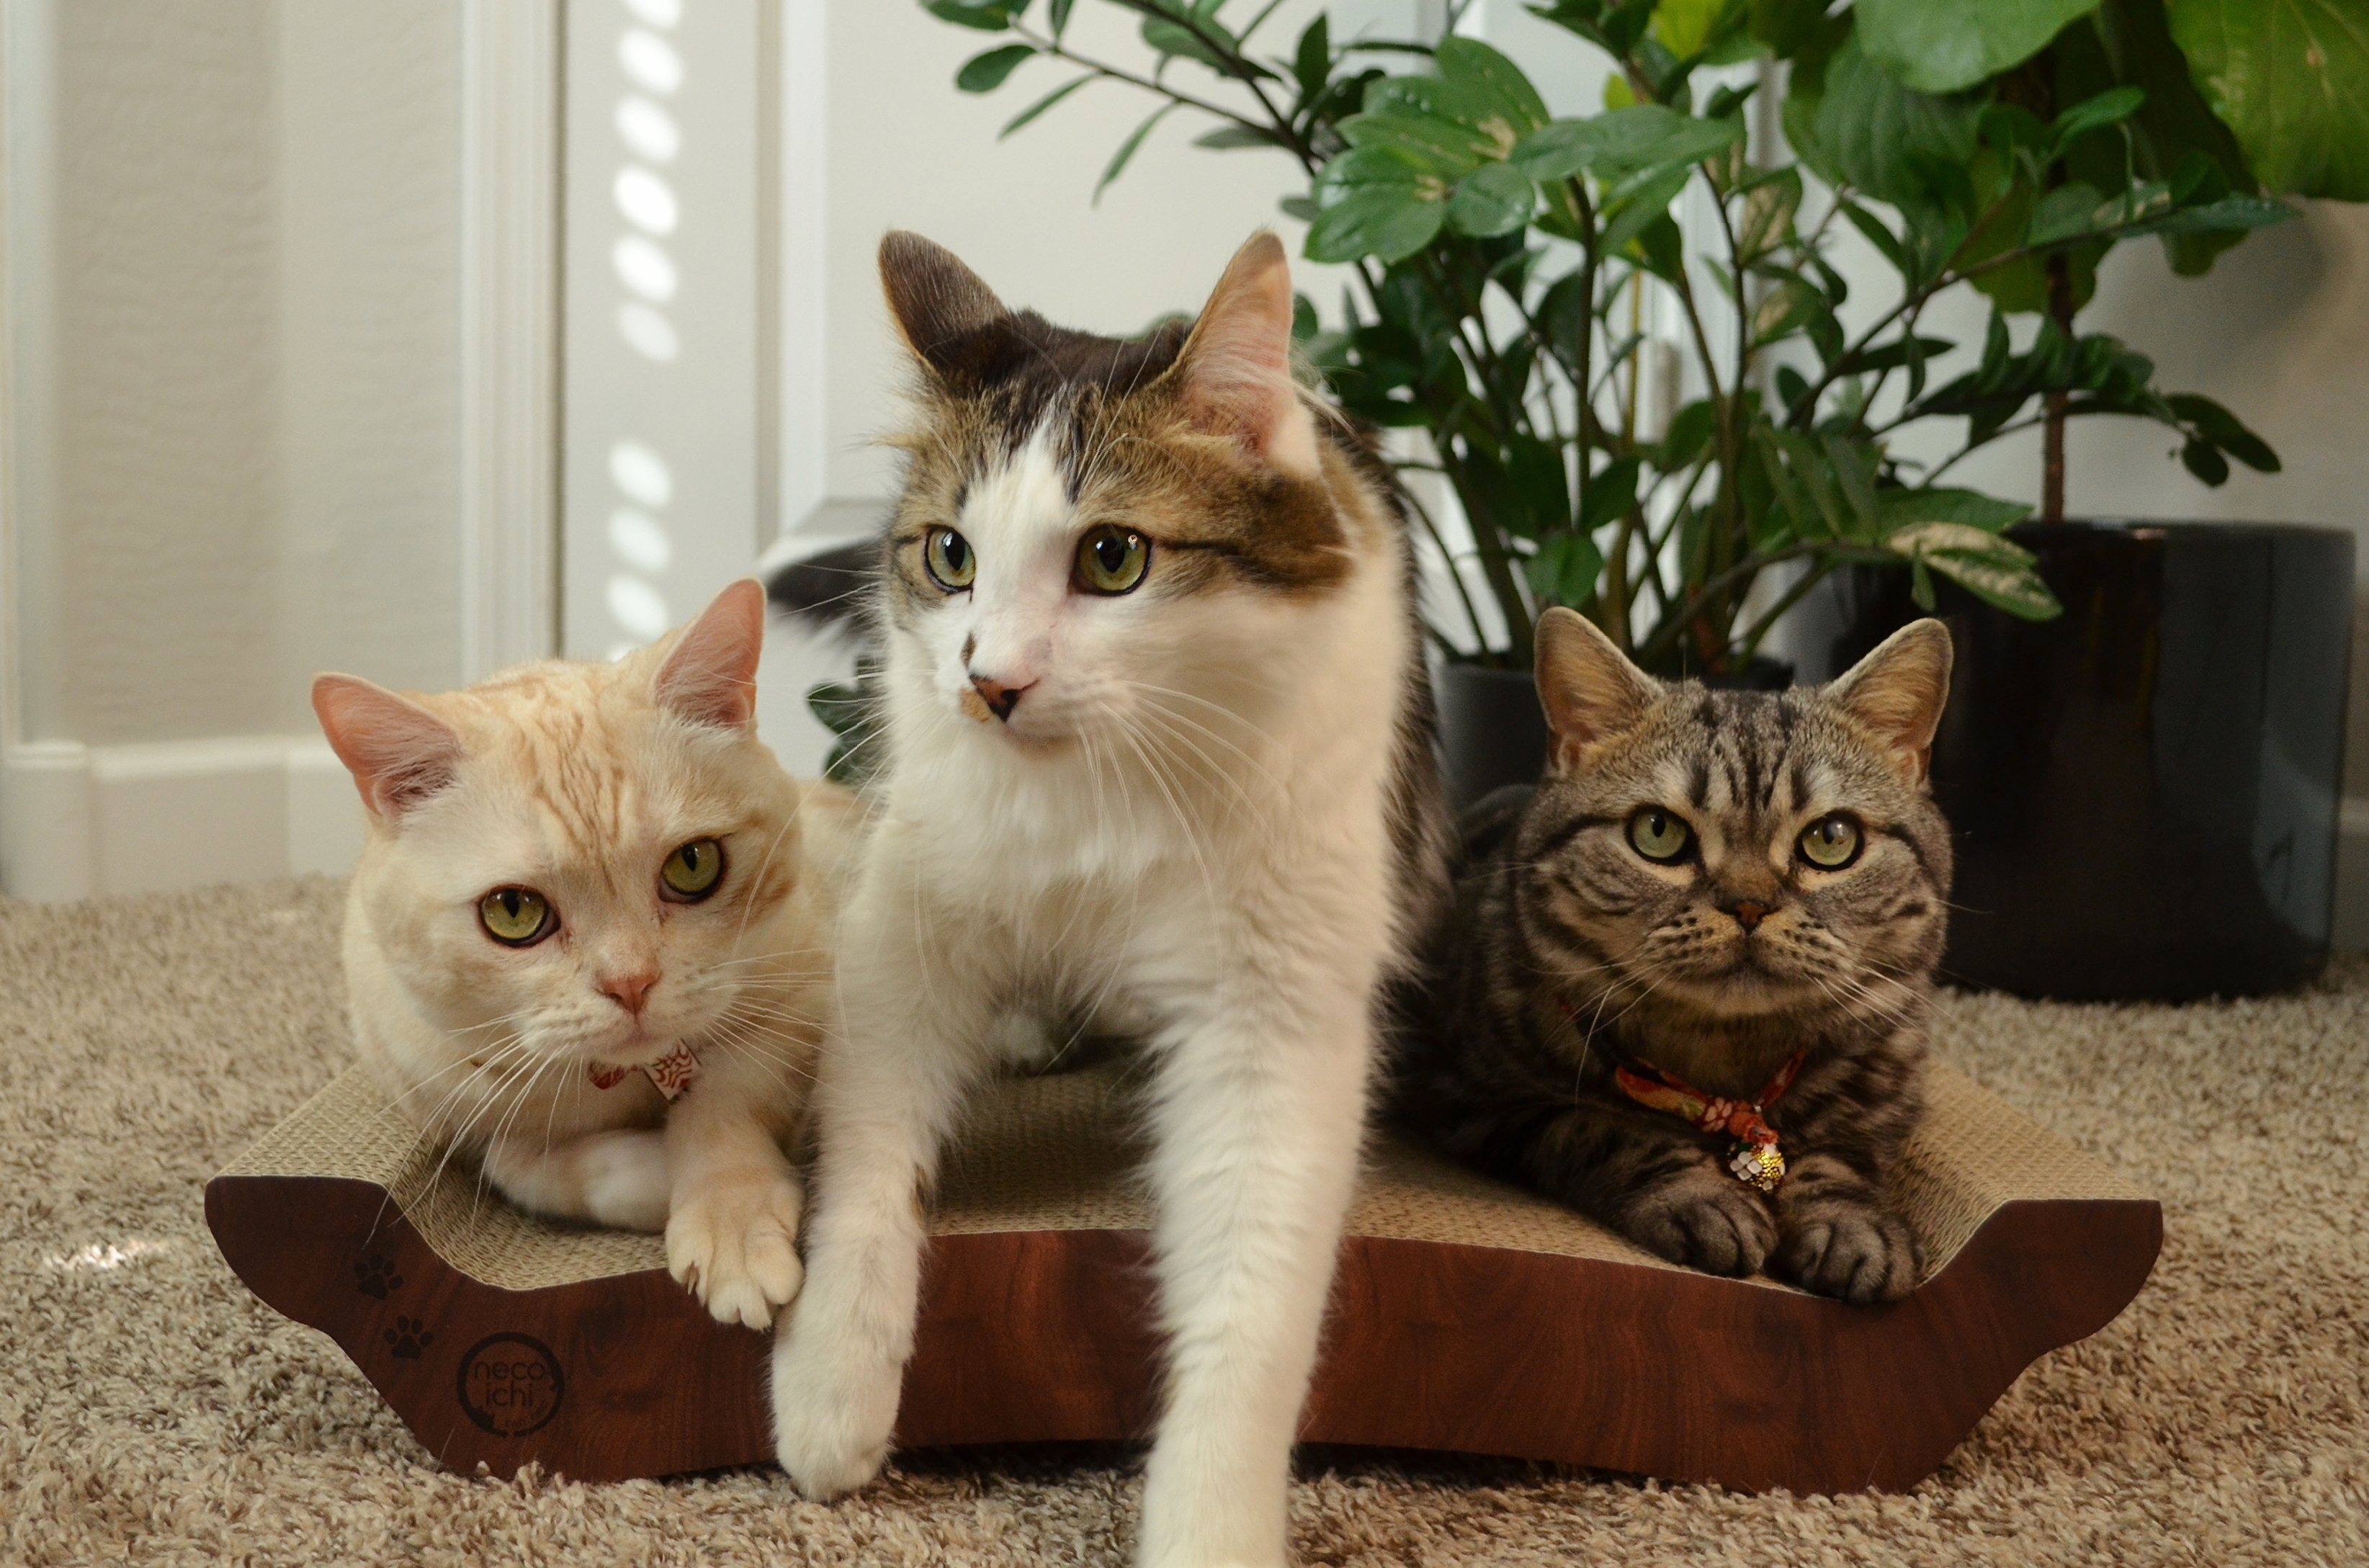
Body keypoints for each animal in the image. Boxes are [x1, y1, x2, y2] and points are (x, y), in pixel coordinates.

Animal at [310, 582, 857, 1335]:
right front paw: (660, 1173)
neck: (627, 1082)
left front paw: (730, 1217)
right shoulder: (441, 1098)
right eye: (514, 911)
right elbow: (519, 1164)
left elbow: (725, 1096)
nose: (631, 982)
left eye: (693, 864)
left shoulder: (810, 984)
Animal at [767, 233, 1449, 1568]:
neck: (1097, 791)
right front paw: (830, 1389)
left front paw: (1209, 1528)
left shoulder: (1269, 1020)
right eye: (950, 556)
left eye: (1113, 559)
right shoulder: (901, 931)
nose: (990, 683)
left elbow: (1251, 1309)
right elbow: (866, 1174)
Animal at [1392, 606, 1952, 1307]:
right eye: (1657, 832)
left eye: (1831, 839)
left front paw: (1855, 1224)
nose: (1747, 904)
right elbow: (1607, 1128)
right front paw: (1701, 1197)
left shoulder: (1884, 1103)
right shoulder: (1473, 1101)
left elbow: (1839, 1156)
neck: (1726, 1062)